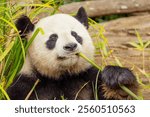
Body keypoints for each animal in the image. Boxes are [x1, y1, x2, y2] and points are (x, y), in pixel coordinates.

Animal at [6, 6, 138, 99]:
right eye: (53, 38)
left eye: (75, 34)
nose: (71, 46)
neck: (63, 76)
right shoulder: (26, 85)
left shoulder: (89, 78)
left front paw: (119, 82)